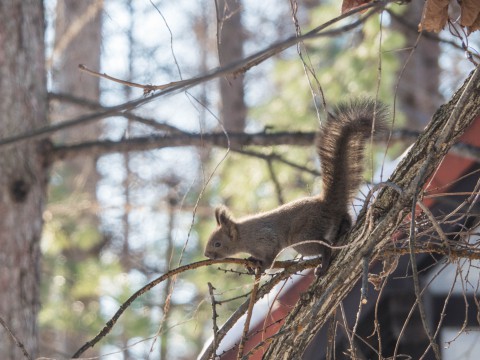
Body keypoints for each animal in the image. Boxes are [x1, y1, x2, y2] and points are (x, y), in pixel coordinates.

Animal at [204, 98, 388, 272]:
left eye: (217, 243)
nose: (206, 254)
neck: (244, 236)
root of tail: (326, 203)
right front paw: (251, 261)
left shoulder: (266, 239)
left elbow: (271, 255)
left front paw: (263, 266)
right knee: (343, 222)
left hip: (304, 237)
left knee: (325, 247)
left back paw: (323, 265)